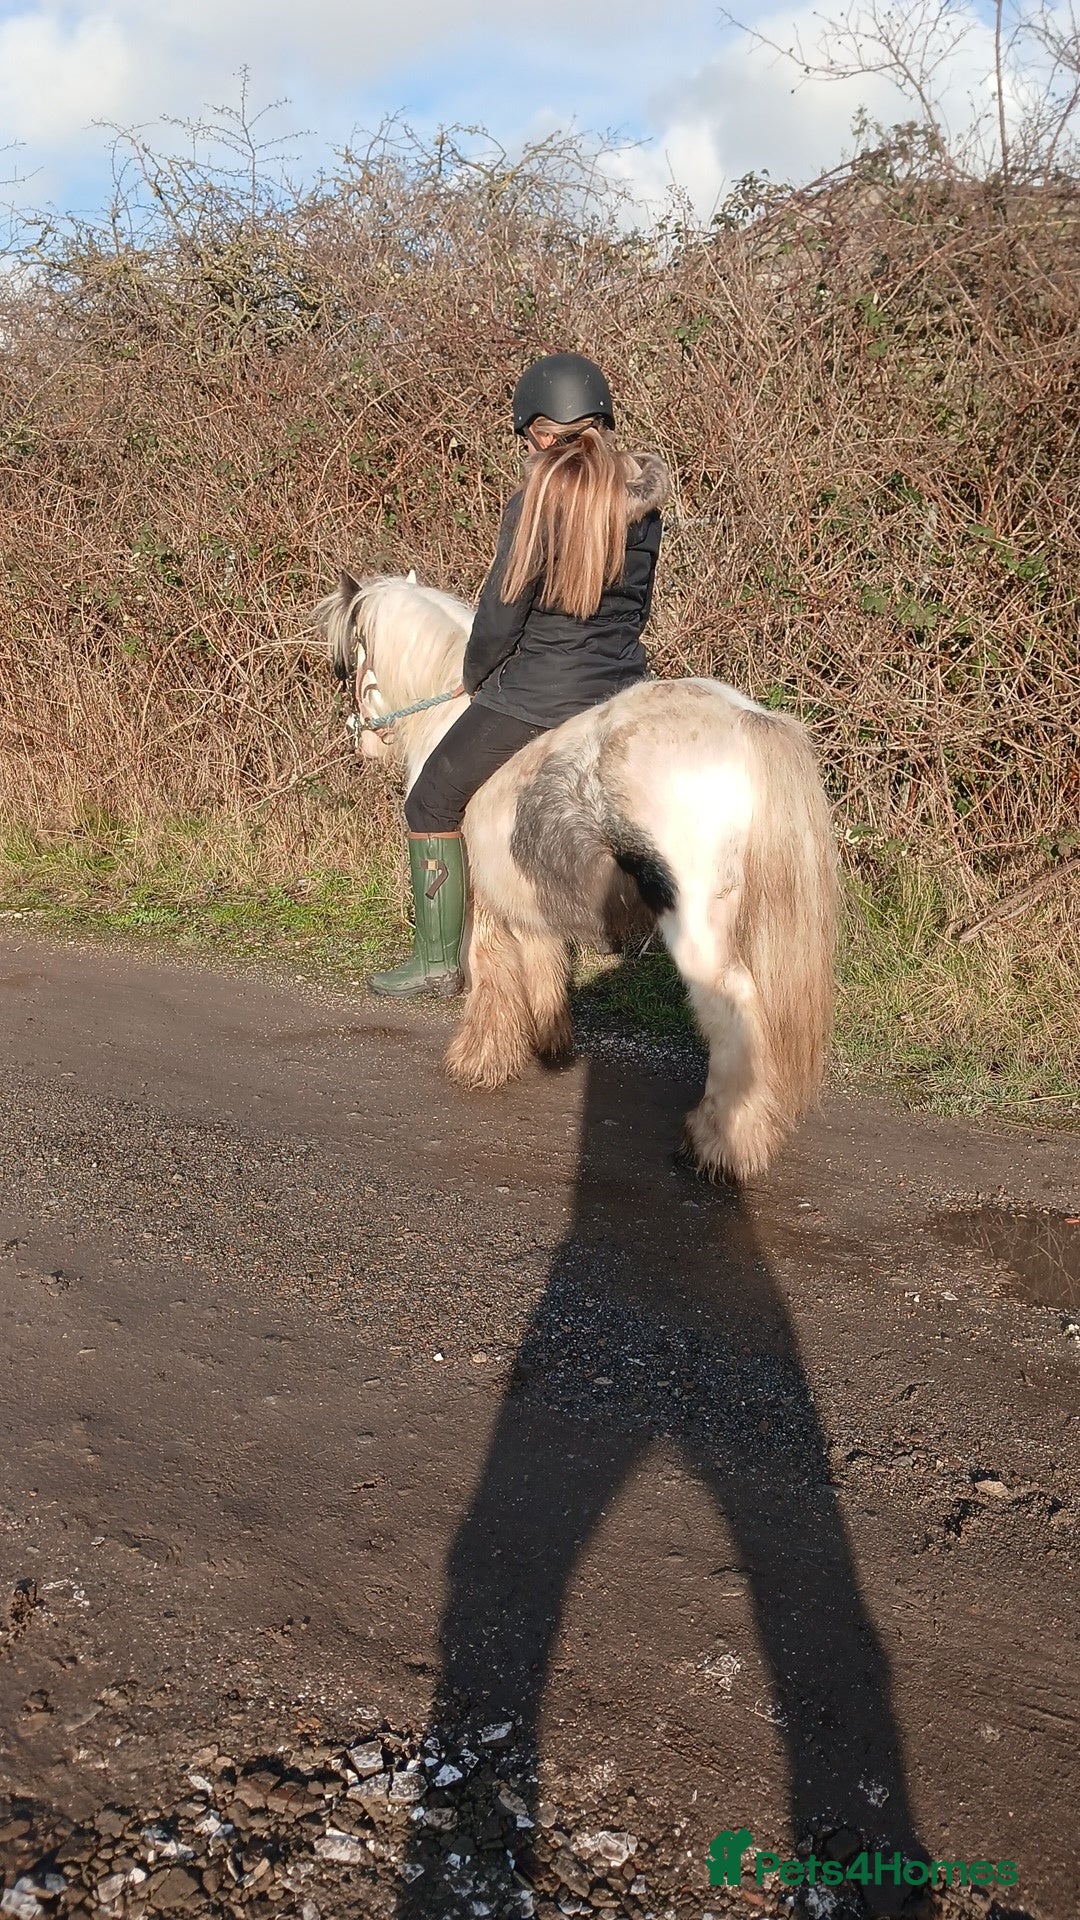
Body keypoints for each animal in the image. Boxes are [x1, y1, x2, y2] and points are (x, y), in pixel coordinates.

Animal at [316, 570, 837, 1183]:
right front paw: (546, 1043)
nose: (362, 737)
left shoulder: (479, 894)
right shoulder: (522, 898)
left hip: (697, 929)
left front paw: (478, 1058)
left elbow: (486, 967)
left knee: (737, 1016)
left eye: (349, 661)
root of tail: (747, 719)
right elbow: (543, 965)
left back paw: (718, 1145)